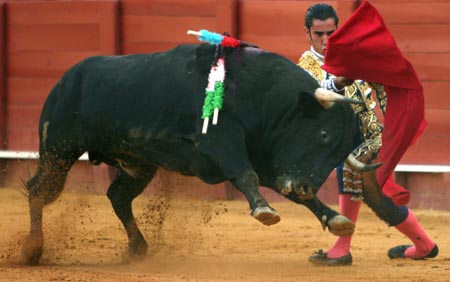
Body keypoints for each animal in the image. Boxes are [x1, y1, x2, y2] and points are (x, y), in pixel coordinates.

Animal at [20, 43, 372, 264]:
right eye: (323, 134)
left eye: (338, 154)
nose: (305, 185)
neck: (261, 95)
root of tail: (65, 78)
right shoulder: (222, 144)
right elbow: (246, 175)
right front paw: (264, 210)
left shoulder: (268, 160)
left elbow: (285, 191)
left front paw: (335, 219)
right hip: (58, 150)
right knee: (39, 191)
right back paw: (31, 251)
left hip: (137, 163)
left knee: (118, 196)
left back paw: (137, 248)